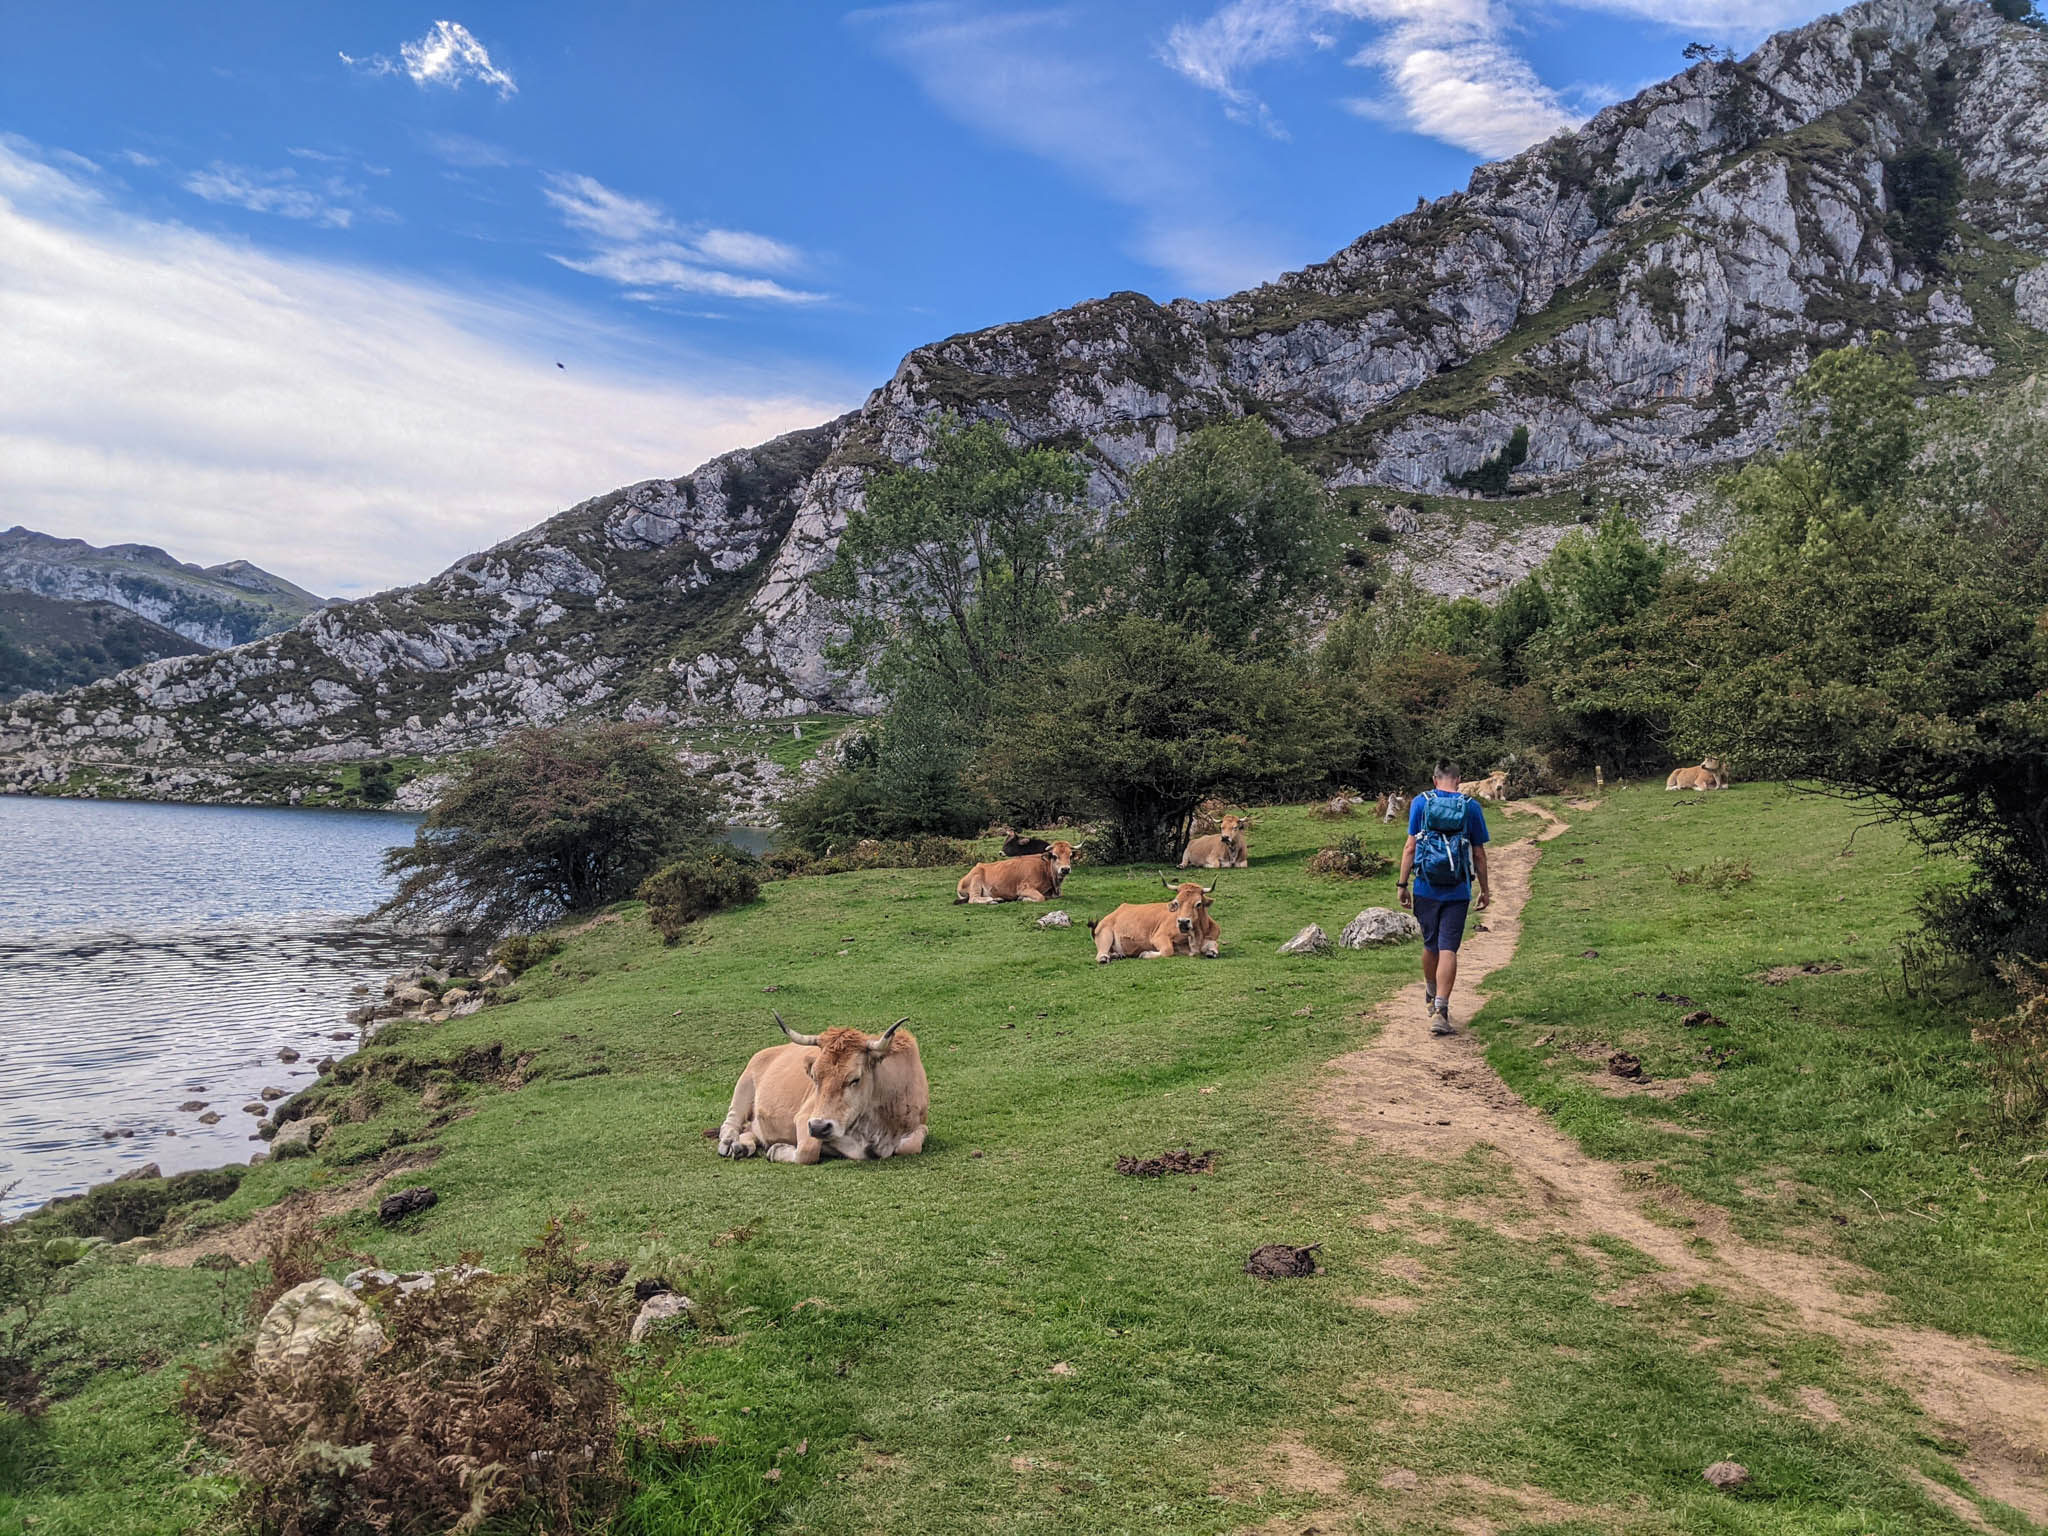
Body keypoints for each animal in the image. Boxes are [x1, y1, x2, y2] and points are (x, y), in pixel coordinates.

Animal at [720, 1015, 929, 1163]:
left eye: (855, 1079)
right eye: (814, 1076)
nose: (819, 1127)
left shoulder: (918, 1125)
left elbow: (911, 1145)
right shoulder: (805, 1117)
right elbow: (806, 1152)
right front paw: (777, 1150)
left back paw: (742, 1146)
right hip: (744, 1085)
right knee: (731, 1122)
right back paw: (729, 1143)